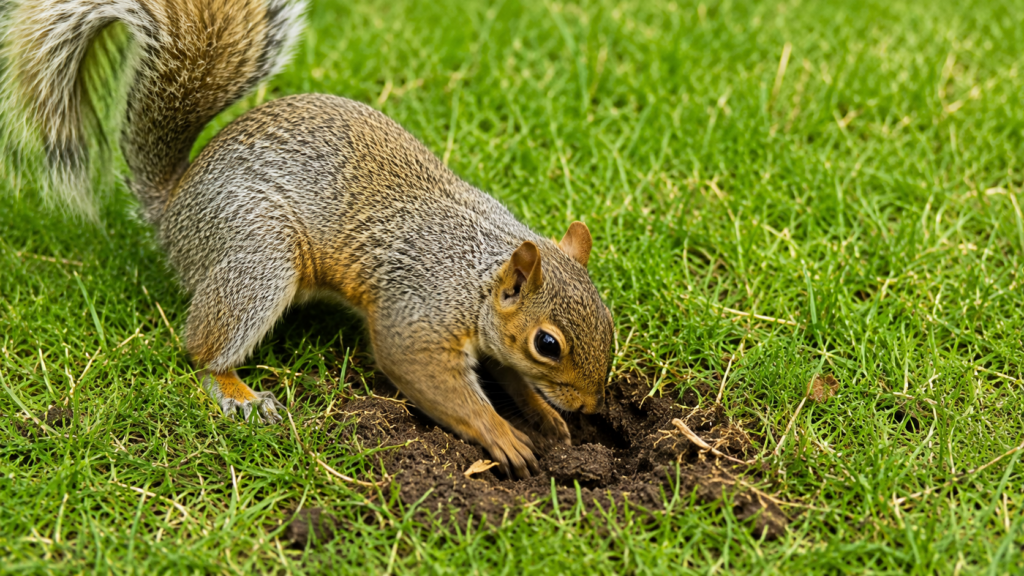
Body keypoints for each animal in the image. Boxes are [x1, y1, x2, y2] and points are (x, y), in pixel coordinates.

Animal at [1, 0, 614, 478]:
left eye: (607, 318)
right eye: (548, 344)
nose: (590, 407)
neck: (479, 274)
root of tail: (174, 208)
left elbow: (510, 376)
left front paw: (543, 415)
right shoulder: (416, 312)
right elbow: (425, 374)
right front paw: (501, 435)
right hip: (260, 255)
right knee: (200, 350)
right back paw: (240, 394)